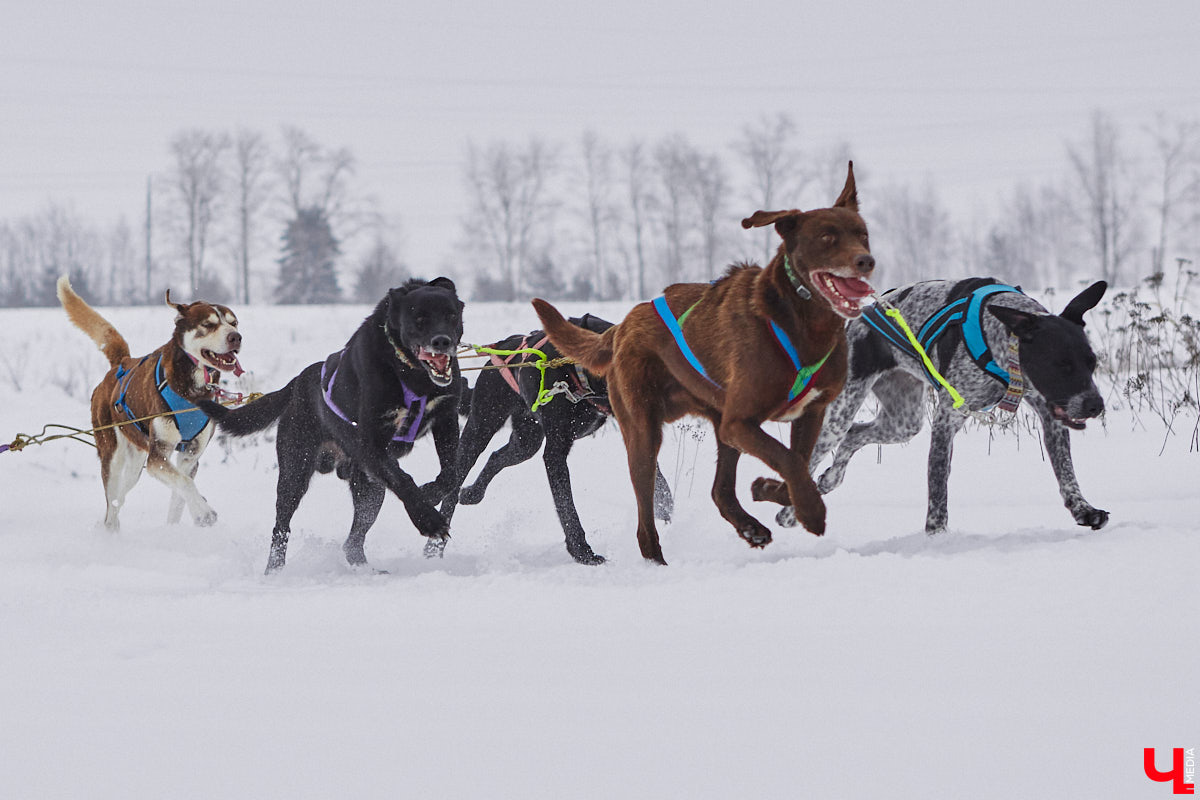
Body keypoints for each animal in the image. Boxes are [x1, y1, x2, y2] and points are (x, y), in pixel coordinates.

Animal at [201, 278, 463, 573]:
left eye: (452, 315)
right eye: (419, 319)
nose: (442, 341)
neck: (411, 375)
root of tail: (298, 382)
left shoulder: (446, 420)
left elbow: (451, 473)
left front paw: (431, 493)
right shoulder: (372, 445)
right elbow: (404, 479)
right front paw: (428, 519)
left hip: (369, 487)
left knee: (352, 542)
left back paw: (366, 570)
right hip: (295, 473)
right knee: (282, 528)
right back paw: (274, 571)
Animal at [439, 316, 676, 566]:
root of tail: (502, 346)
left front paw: (663, 508)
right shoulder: (555, 453)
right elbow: (566, 507)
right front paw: (583, 552)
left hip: (527, 441)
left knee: (497, 456)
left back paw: (472, 493)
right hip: (481, 427)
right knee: (454, 487)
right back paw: (434, 548)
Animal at [530, 163, 878, 563]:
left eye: (863, 235)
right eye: (827, 238)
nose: (866, 261)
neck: (801, 324)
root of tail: (622, 326)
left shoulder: (809, 412)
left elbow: (799, 463)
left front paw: (768, 489)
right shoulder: (740, 421)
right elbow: (789, 460)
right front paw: (811, 511)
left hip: (716, 421)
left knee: (720, 491)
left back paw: (750, 526)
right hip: (645, 431)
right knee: (645, 519)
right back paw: (659, 563)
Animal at [811, 278, 1108, 534]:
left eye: (1091, 362)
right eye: (1061, 365)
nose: (1095, 405)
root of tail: (865, 313)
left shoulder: (1050, 416)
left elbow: (1066, 471)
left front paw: (1083, 509)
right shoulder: (947, 418)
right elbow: (938, 480)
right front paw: (936, 532)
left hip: (903, 421)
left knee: (854, 434)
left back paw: (830, 479)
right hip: (839, 416)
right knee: (818, 452)